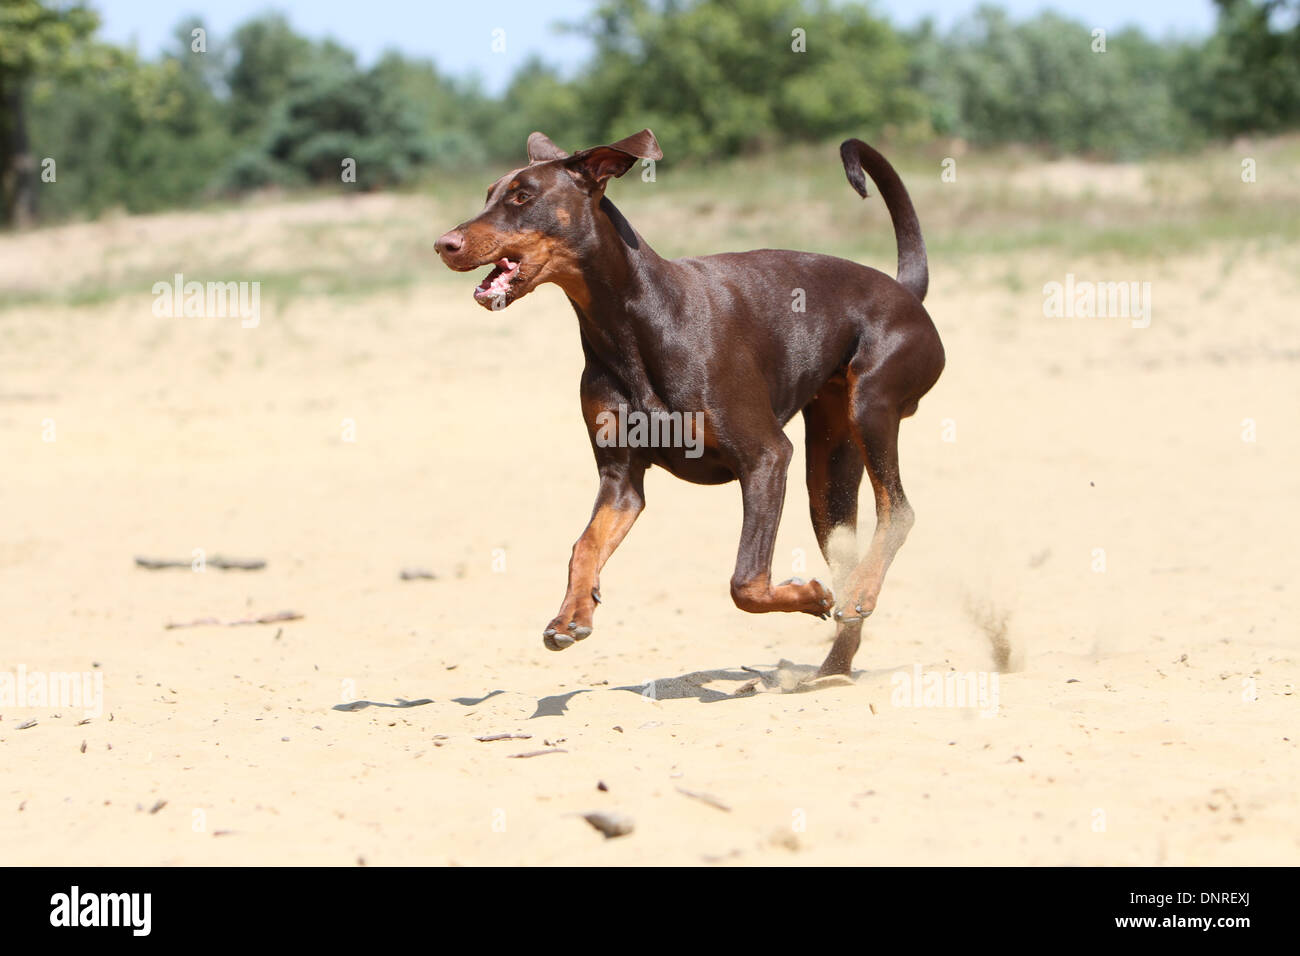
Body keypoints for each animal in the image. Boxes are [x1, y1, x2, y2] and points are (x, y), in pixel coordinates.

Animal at [436, 132, 946, 671]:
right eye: (489, 194)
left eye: (522, 196)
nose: (443, 244)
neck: (628, 326)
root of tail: (905, 291)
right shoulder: (621, 480)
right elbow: (585, 544)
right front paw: (573, 613)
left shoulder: (766, 457)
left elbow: (746, 581)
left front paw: (808, 594)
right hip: (828, 468)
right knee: (848, 546)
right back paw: (827, 671)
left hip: (872, 403)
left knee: (898, 510)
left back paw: (856, 598)